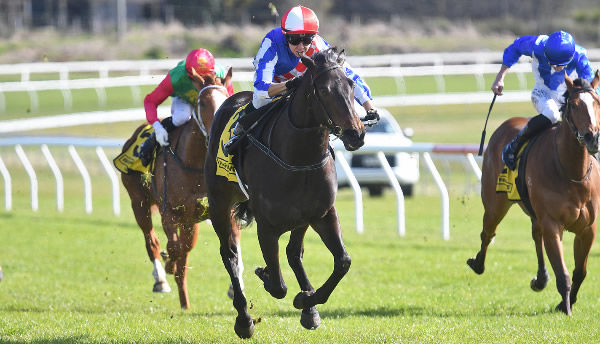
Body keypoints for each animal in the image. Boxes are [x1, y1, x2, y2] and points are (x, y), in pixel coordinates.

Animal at [119, 69, 244, 310]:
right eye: (202, 103)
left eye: (226, 99)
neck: (194, 165)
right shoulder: (169, 211)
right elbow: (174, 247)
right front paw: (169, 265)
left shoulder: (217, 211)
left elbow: (199, 248)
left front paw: (235, 287)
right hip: (139, 202)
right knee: (152, 241)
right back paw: (161, 279)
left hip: (189, 220)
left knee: (184, 249)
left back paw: (184, 301)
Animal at [205, 48, 366, 338]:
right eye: (323, 90)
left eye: (351, 84)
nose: (355, 134)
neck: (299, 157)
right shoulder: (267, 227)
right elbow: (279, 285)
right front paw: (267, 276)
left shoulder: (323, 213)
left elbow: (343, 262)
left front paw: (307, 299)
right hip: (219, 202)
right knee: (230, 253)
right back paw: (244, 319)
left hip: (302, 218)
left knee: (293, 252)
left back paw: (309, 309)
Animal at [468, 72, 600, 314]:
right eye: (574, 105)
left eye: (597, 103)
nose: (592, 138)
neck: (571, 171)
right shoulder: (552, 224)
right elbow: (563, 274)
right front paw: (566, 308)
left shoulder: (587, 228)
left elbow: (580, 271)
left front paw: (567, 303)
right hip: (495, 204)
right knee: (488, 232)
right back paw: (478, 263)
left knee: (535, 234)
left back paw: (540, 278)